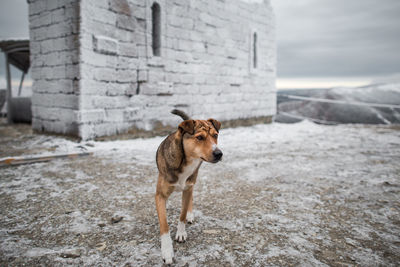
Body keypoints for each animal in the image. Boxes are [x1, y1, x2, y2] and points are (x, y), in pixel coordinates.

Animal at [155, 109, 223, 264]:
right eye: (200, 137)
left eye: (215, 136)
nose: (219, 153)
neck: (186, 161)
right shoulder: (160, 196)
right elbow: (164, 225)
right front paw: (167, 251)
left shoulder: (187, 188)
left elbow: (182, 214)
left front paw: (181, 232)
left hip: (192, 181)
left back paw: (190, 214)